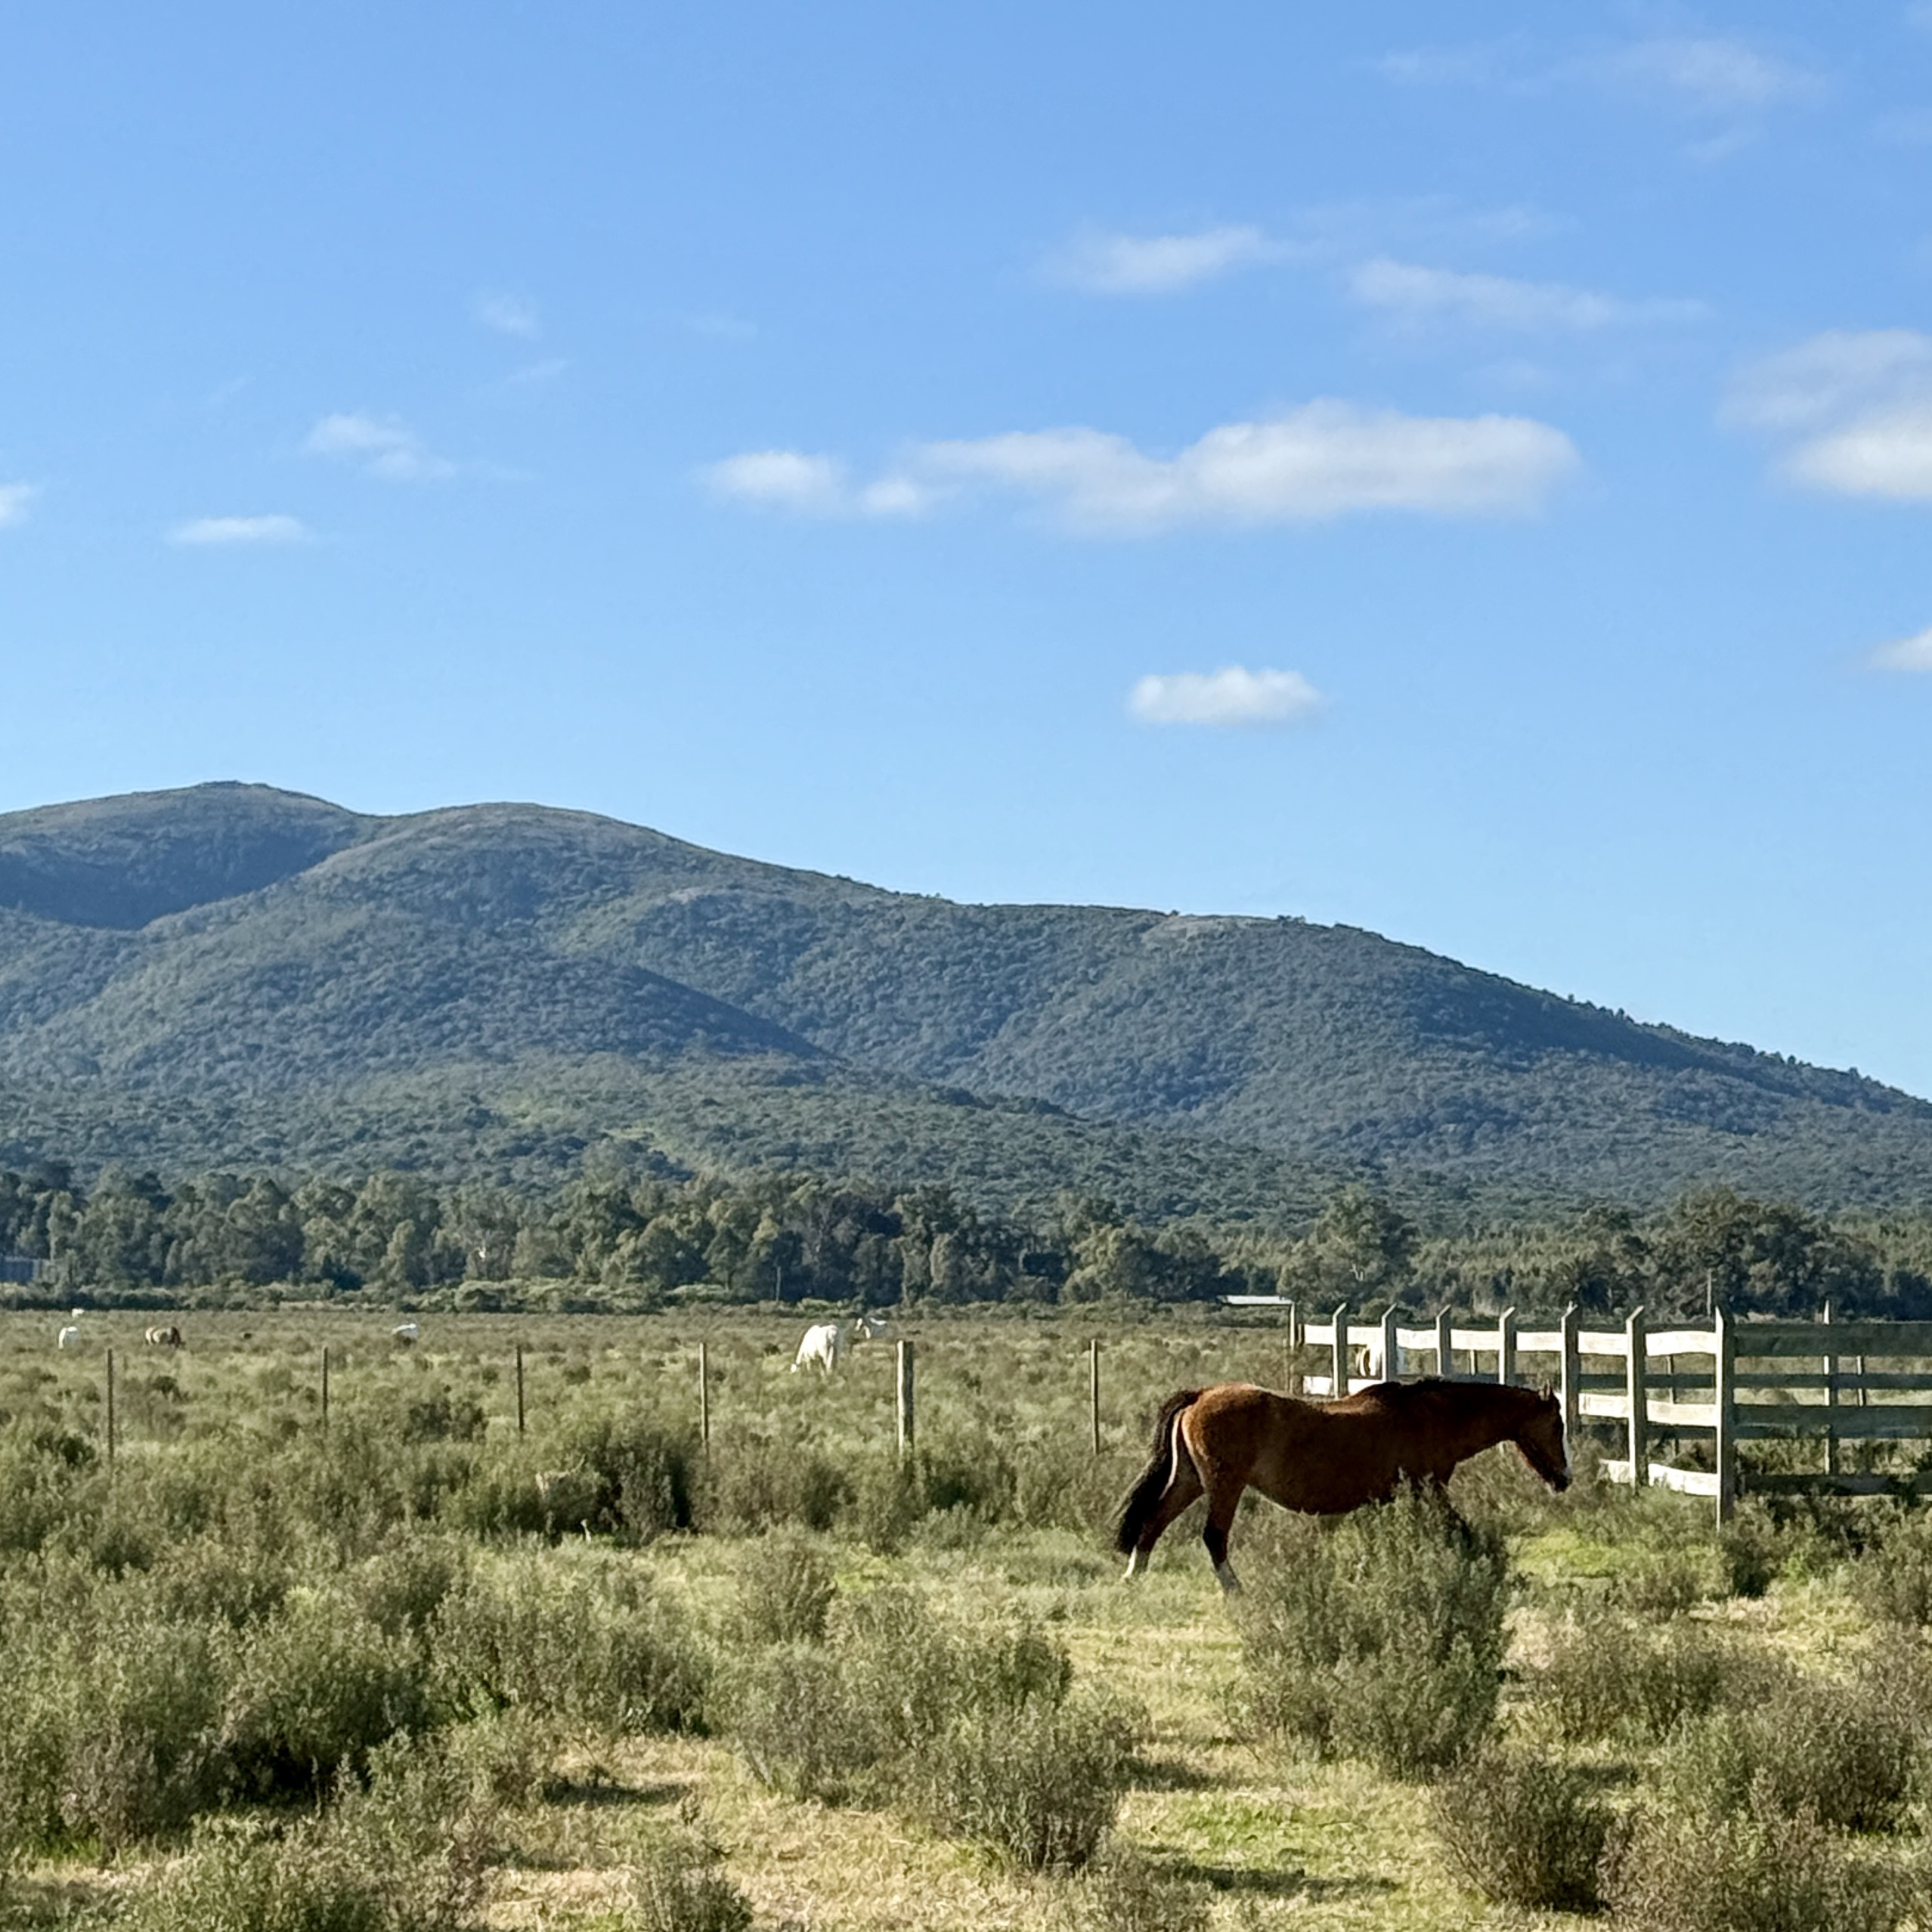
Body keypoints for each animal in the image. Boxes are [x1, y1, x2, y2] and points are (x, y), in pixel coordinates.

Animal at [1116, 1376, 1569, 1594]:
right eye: (1557, 1425)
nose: (1564, 1478)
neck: (1430, 1417)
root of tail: (1201, 1395)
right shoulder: (1429, 1491)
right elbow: (1462, 1532)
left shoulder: (1386, 1499)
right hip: (1225, 1485)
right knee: (1213, 1536)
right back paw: (1236, 1589)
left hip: (1190, 1481)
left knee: (1153, 1522)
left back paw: (1133, 1576)